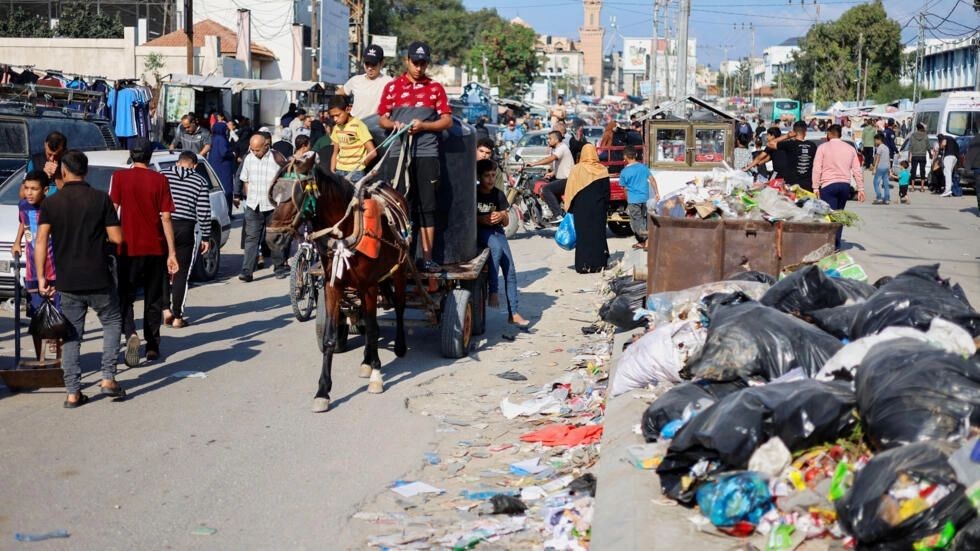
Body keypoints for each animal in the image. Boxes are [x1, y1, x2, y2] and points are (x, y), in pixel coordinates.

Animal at [264, 156, 410, 414]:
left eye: (295, 195)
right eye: (275, 194)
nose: (272, 238)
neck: (347, 229)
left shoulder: (369, 286)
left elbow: (374, 329)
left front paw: (377, 376)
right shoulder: (333, 286)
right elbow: (330, 337)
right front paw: (323, 391)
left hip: (399, 270)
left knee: (399, 306)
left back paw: (399, 347)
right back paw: (366, 360)